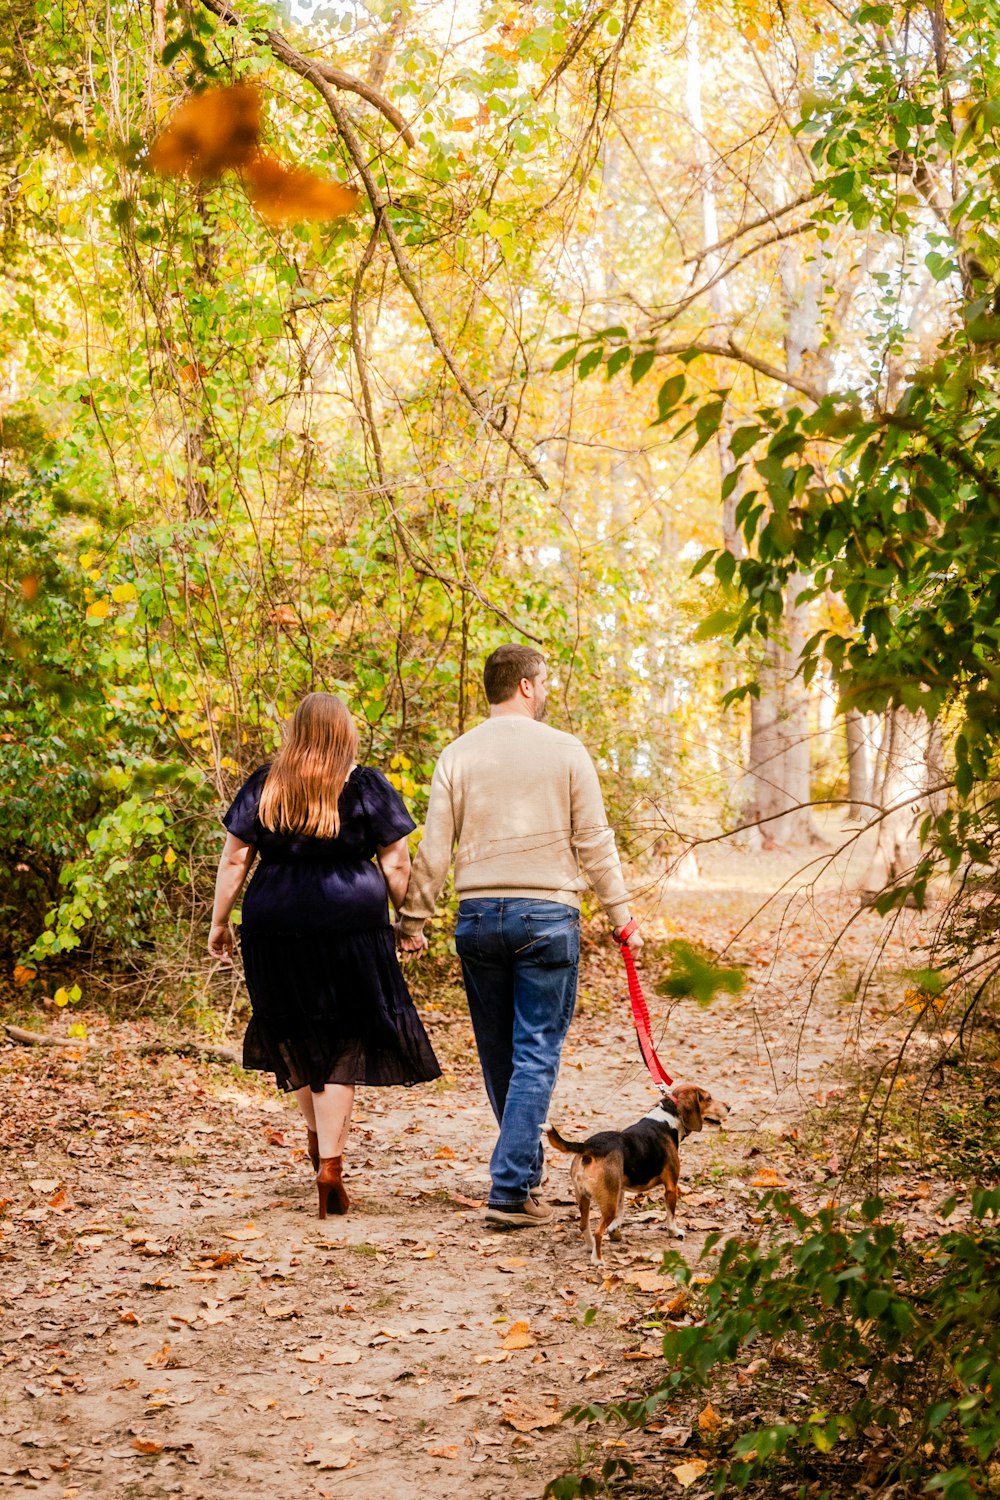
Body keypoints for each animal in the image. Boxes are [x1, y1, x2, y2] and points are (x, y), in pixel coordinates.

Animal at [548, 1080, 728, 1266]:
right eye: (709, 1098)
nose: (729, 1107)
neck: (670, 1116)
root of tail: (588, 1146)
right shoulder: (671, 1187)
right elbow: (671, 1215)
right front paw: (675, 1231)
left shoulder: (619, 1189)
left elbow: (621, 1213)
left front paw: (615, 1229)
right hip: (607, 1203)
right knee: (598, 1232)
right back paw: (597, 1260)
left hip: (586, 1196)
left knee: (584, 1225)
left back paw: (591, 1248)